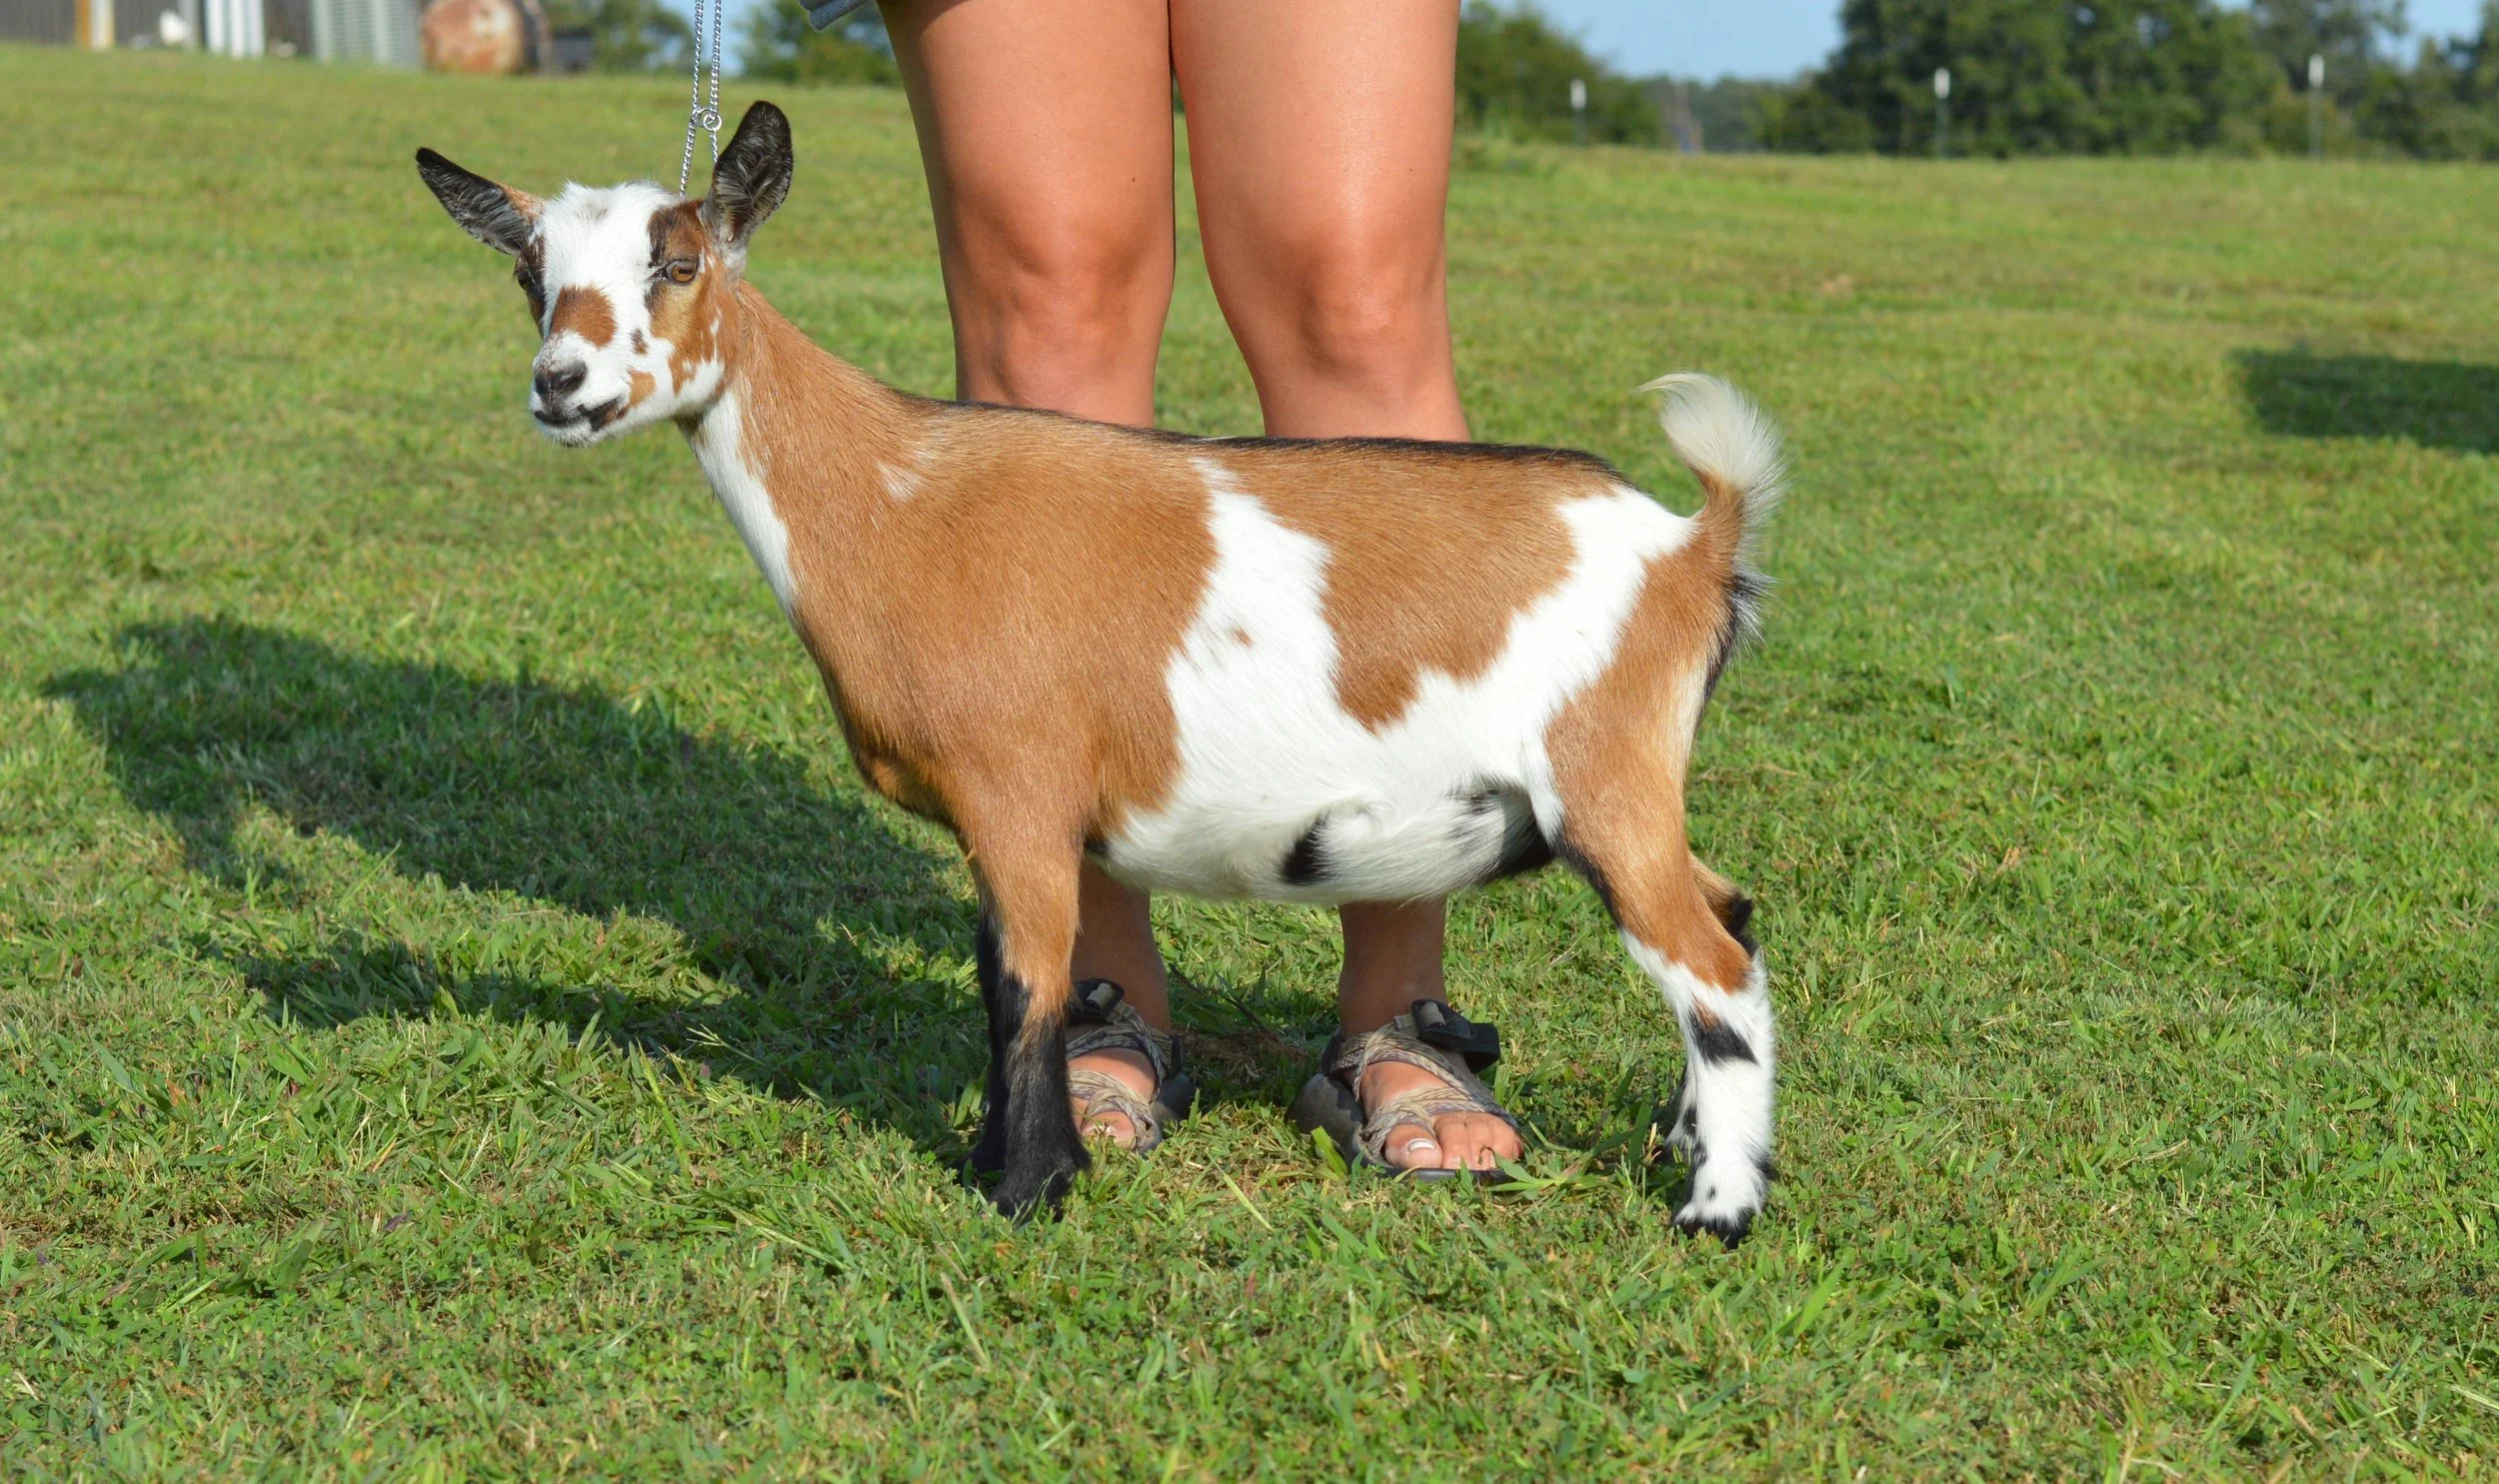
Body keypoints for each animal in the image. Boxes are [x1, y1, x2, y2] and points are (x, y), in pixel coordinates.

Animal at [416, 100, 1786, 1242]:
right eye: (531, 275)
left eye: (680, 263)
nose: (561, 385)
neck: (893, 502)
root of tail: (1691, 542)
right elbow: (1009, 978)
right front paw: (1012, 1163)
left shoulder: (1017, 792)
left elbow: (1023, 988)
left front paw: (1027, 1188)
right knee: (1728, 914)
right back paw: (1682, 1144)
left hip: (1601, 774)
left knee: (1710, 967)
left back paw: (1715, 1211)